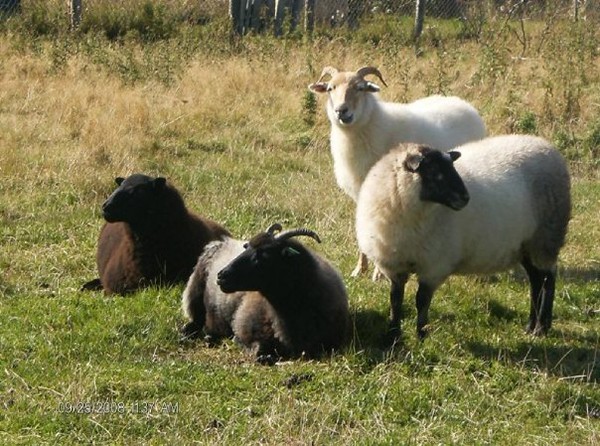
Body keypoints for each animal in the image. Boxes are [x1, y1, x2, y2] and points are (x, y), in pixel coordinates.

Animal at [310, 65, 488, 278]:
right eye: (330, 88)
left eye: (361, 88)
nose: (341, 111)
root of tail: (463, 103)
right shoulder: (362, 191)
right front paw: (360, 269)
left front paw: (379, 273)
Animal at [356, 134, 572, 340]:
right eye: (435, 173)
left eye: (452, 169)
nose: (466, 198)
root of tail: (546, 146)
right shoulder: (394, 266)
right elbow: (395, 300)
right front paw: (393, 334)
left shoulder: (434, 266)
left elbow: (421, 301)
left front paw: (421, 334)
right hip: (527, 244)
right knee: (536, 280)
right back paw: (530, 326)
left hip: (545, 238)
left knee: (548, 280)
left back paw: (541, 328)